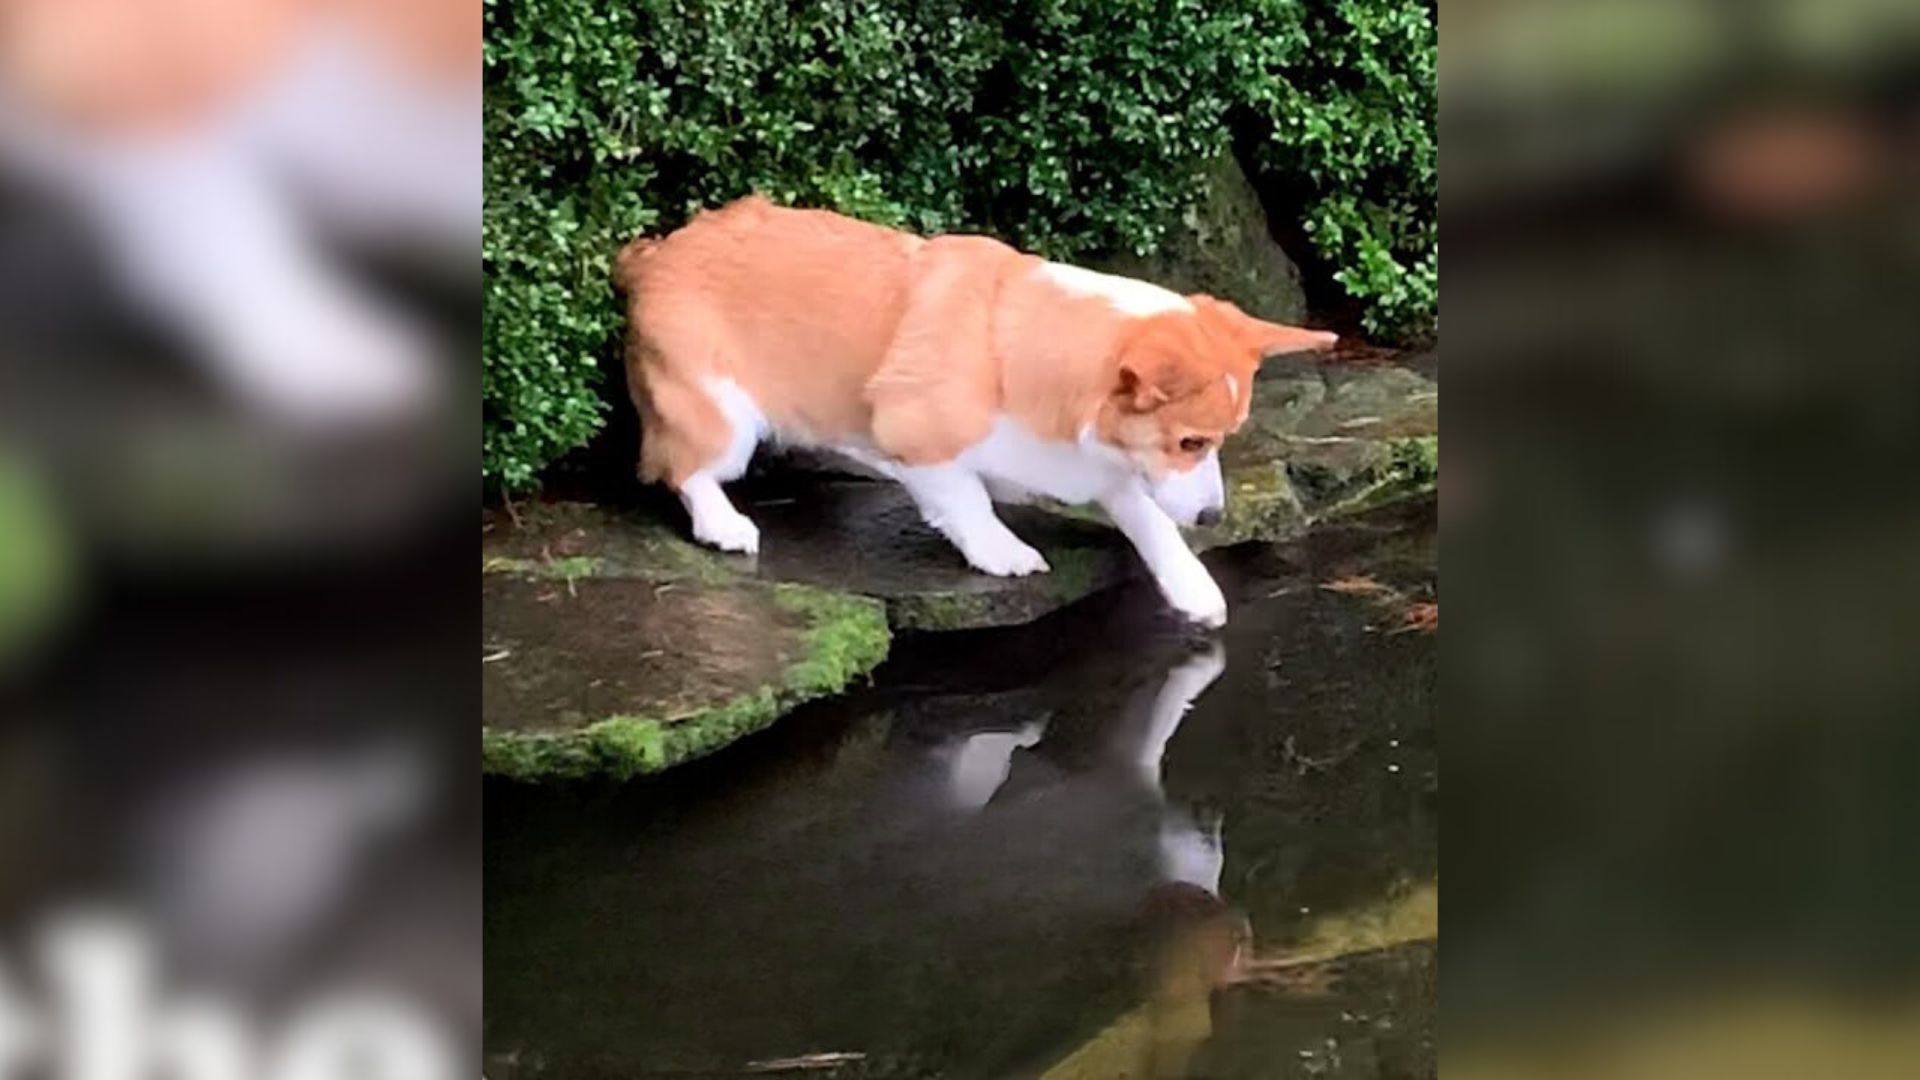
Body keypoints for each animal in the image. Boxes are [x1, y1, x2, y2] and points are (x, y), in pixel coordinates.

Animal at [618, 197, 1336, 626]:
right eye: (1190, 442)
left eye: (1218, 441)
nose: (1215, 517)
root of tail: (655, 253)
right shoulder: (920, 441)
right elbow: (967, 501)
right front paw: (1001, 550)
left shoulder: (1101, 465)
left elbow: (1149, 518)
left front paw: (1194, 587)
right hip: (722, 416)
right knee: (685, 470)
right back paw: (725, 523)